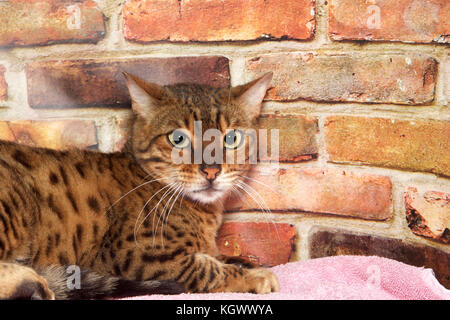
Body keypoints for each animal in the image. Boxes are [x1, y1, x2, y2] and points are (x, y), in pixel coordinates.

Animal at [0, 71, 278, 298]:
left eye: (232, 138)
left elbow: (222, 257)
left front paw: (247, 264)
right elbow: (205, 268)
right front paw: (254, 277)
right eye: (178, 139)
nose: (211, 170)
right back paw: (35, 284)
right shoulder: (131, 255)